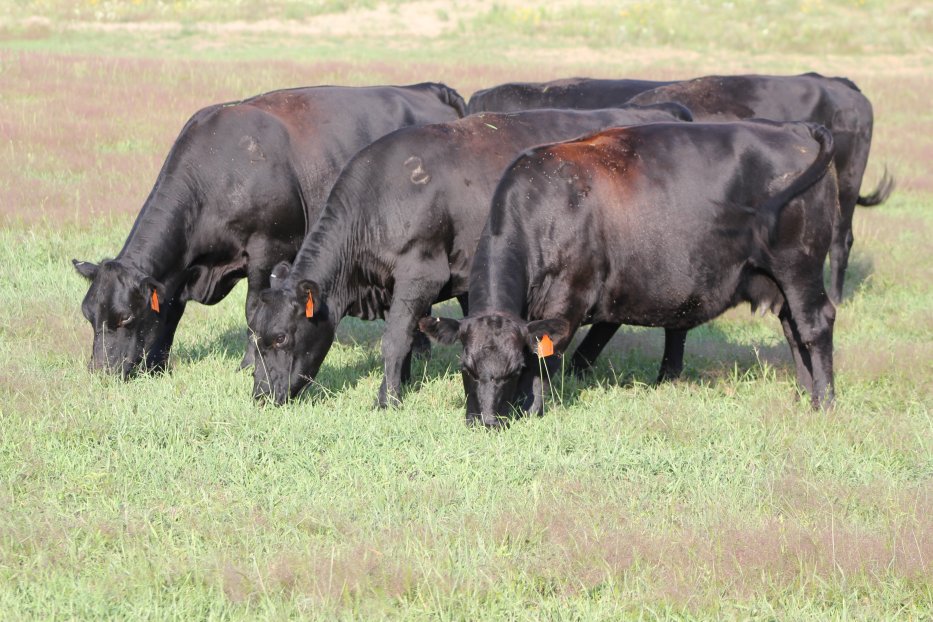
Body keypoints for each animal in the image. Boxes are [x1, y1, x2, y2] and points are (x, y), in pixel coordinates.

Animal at [73, 80, 466, 378]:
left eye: (124, 317)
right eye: (89, 315)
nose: (100, 372)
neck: (220, 169)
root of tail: (427, 88)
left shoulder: (268, 247)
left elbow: (252, 310)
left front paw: (248, 363)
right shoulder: (183, 266)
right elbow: (169, 310)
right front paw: (157, 365)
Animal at [248, 105, 692, 408]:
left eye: (281, 337)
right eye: (255, 334)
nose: (260, 395)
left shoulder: (420, 272)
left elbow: (395, 339)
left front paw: (387, 400)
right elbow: (406, 340)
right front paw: (404, 384)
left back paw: (664, 376)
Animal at [420, 120, 836, 428]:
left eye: (513, 369)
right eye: (466, 368)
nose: (486, 421)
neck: (544, 205)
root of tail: (795, 130)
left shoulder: (567, 300)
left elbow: (545, 360)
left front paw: (532, 410)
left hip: (799, 265)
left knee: (815, 325)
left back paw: (824, 401)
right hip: (778, 279)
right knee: (793, 328)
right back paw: (803, 393)